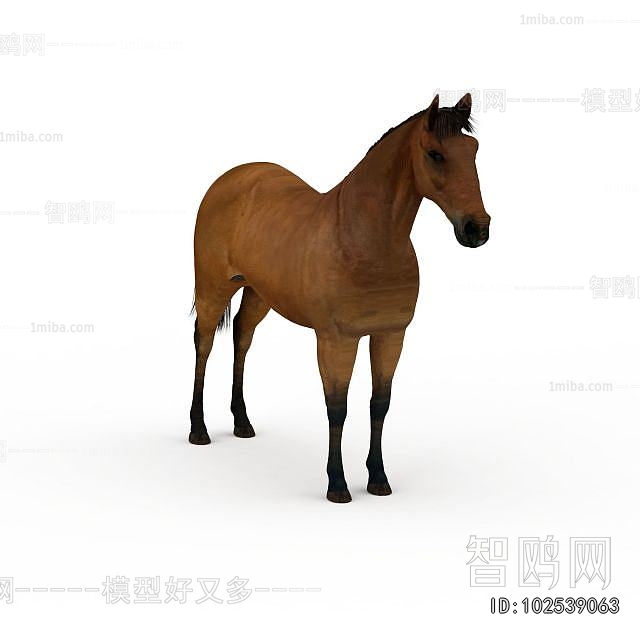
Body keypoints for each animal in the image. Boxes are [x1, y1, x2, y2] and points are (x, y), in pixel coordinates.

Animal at [189, 93, 491, 503]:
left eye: (473, 150)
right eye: (435, 154)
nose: (478, 228)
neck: (363, 239)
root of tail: (231, 177)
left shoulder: (390, 335)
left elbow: (379, 404)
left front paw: (378, 479)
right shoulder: (336, 341)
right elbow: (338, 408)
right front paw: (337, 485)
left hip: (259, 294)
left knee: (242, 337)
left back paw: (243, 423)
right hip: (213, 289)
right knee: (203, 345)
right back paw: (199, 430)